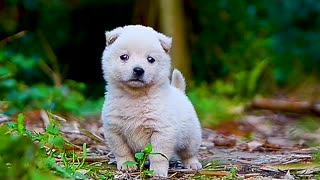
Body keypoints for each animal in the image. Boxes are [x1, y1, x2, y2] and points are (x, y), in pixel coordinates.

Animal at [101, 24, 201, 177]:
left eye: (151, 59)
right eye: (124, 57)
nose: (138, 70)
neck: (135, 97)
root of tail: (179, 91)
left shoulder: (162, 132)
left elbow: (158, 156)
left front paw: (157, 171)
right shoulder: (114, 130)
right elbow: (122, 150)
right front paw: (127, 165)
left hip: (191, 137)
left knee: (189, 153)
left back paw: (193, 164)